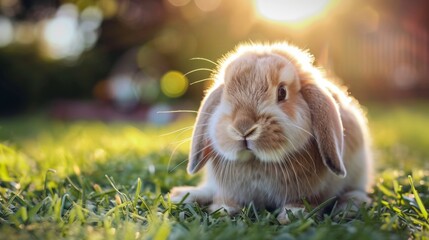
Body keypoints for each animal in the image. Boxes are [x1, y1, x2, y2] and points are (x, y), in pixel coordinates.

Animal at [170, 42, 372, 224]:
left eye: (282, 92)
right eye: (225, 94)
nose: (243, 128)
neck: (258, 163)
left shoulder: (308, 193)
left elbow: (303, 203)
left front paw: (293, 215)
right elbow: (226, 200)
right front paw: (223, 210)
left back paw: (350, 206)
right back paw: (182, 195)